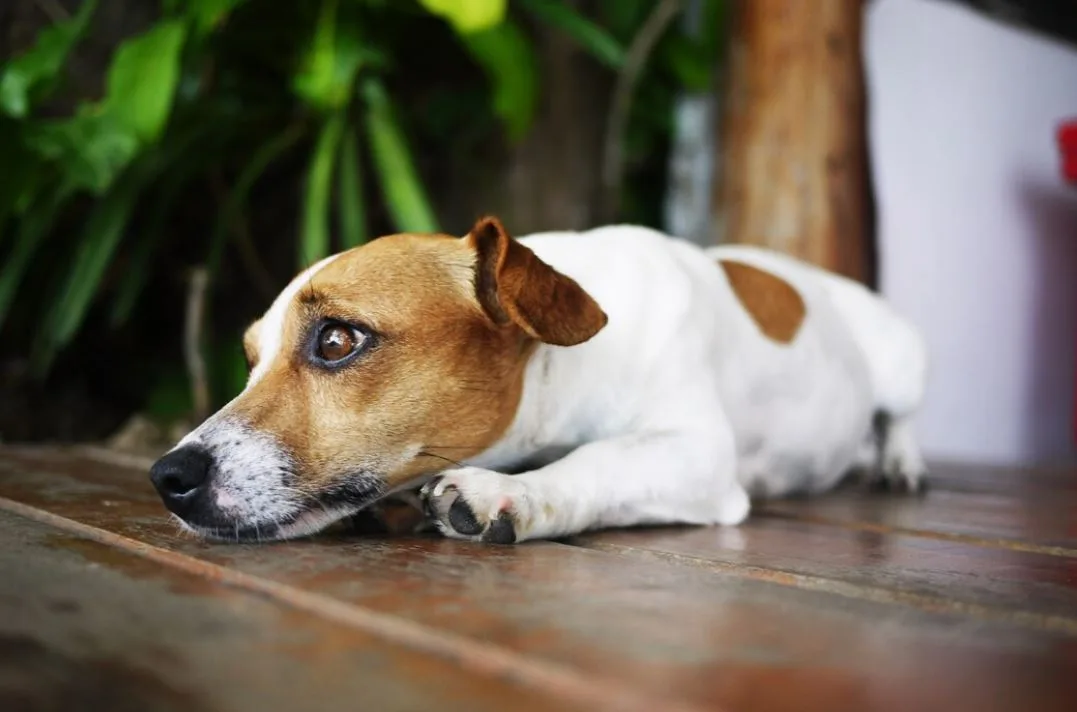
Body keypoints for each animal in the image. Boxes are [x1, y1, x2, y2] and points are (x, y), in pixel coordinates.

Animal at [147, 216, 930, 545]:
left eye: (337, 340)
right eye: (250, 360)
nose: (167, 477)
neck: (560, 362)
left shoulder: (694, 452)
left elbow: (597, 462)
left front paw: (508, 494)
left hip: (900, 360)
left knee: (900, 417)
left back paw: (902, 463)